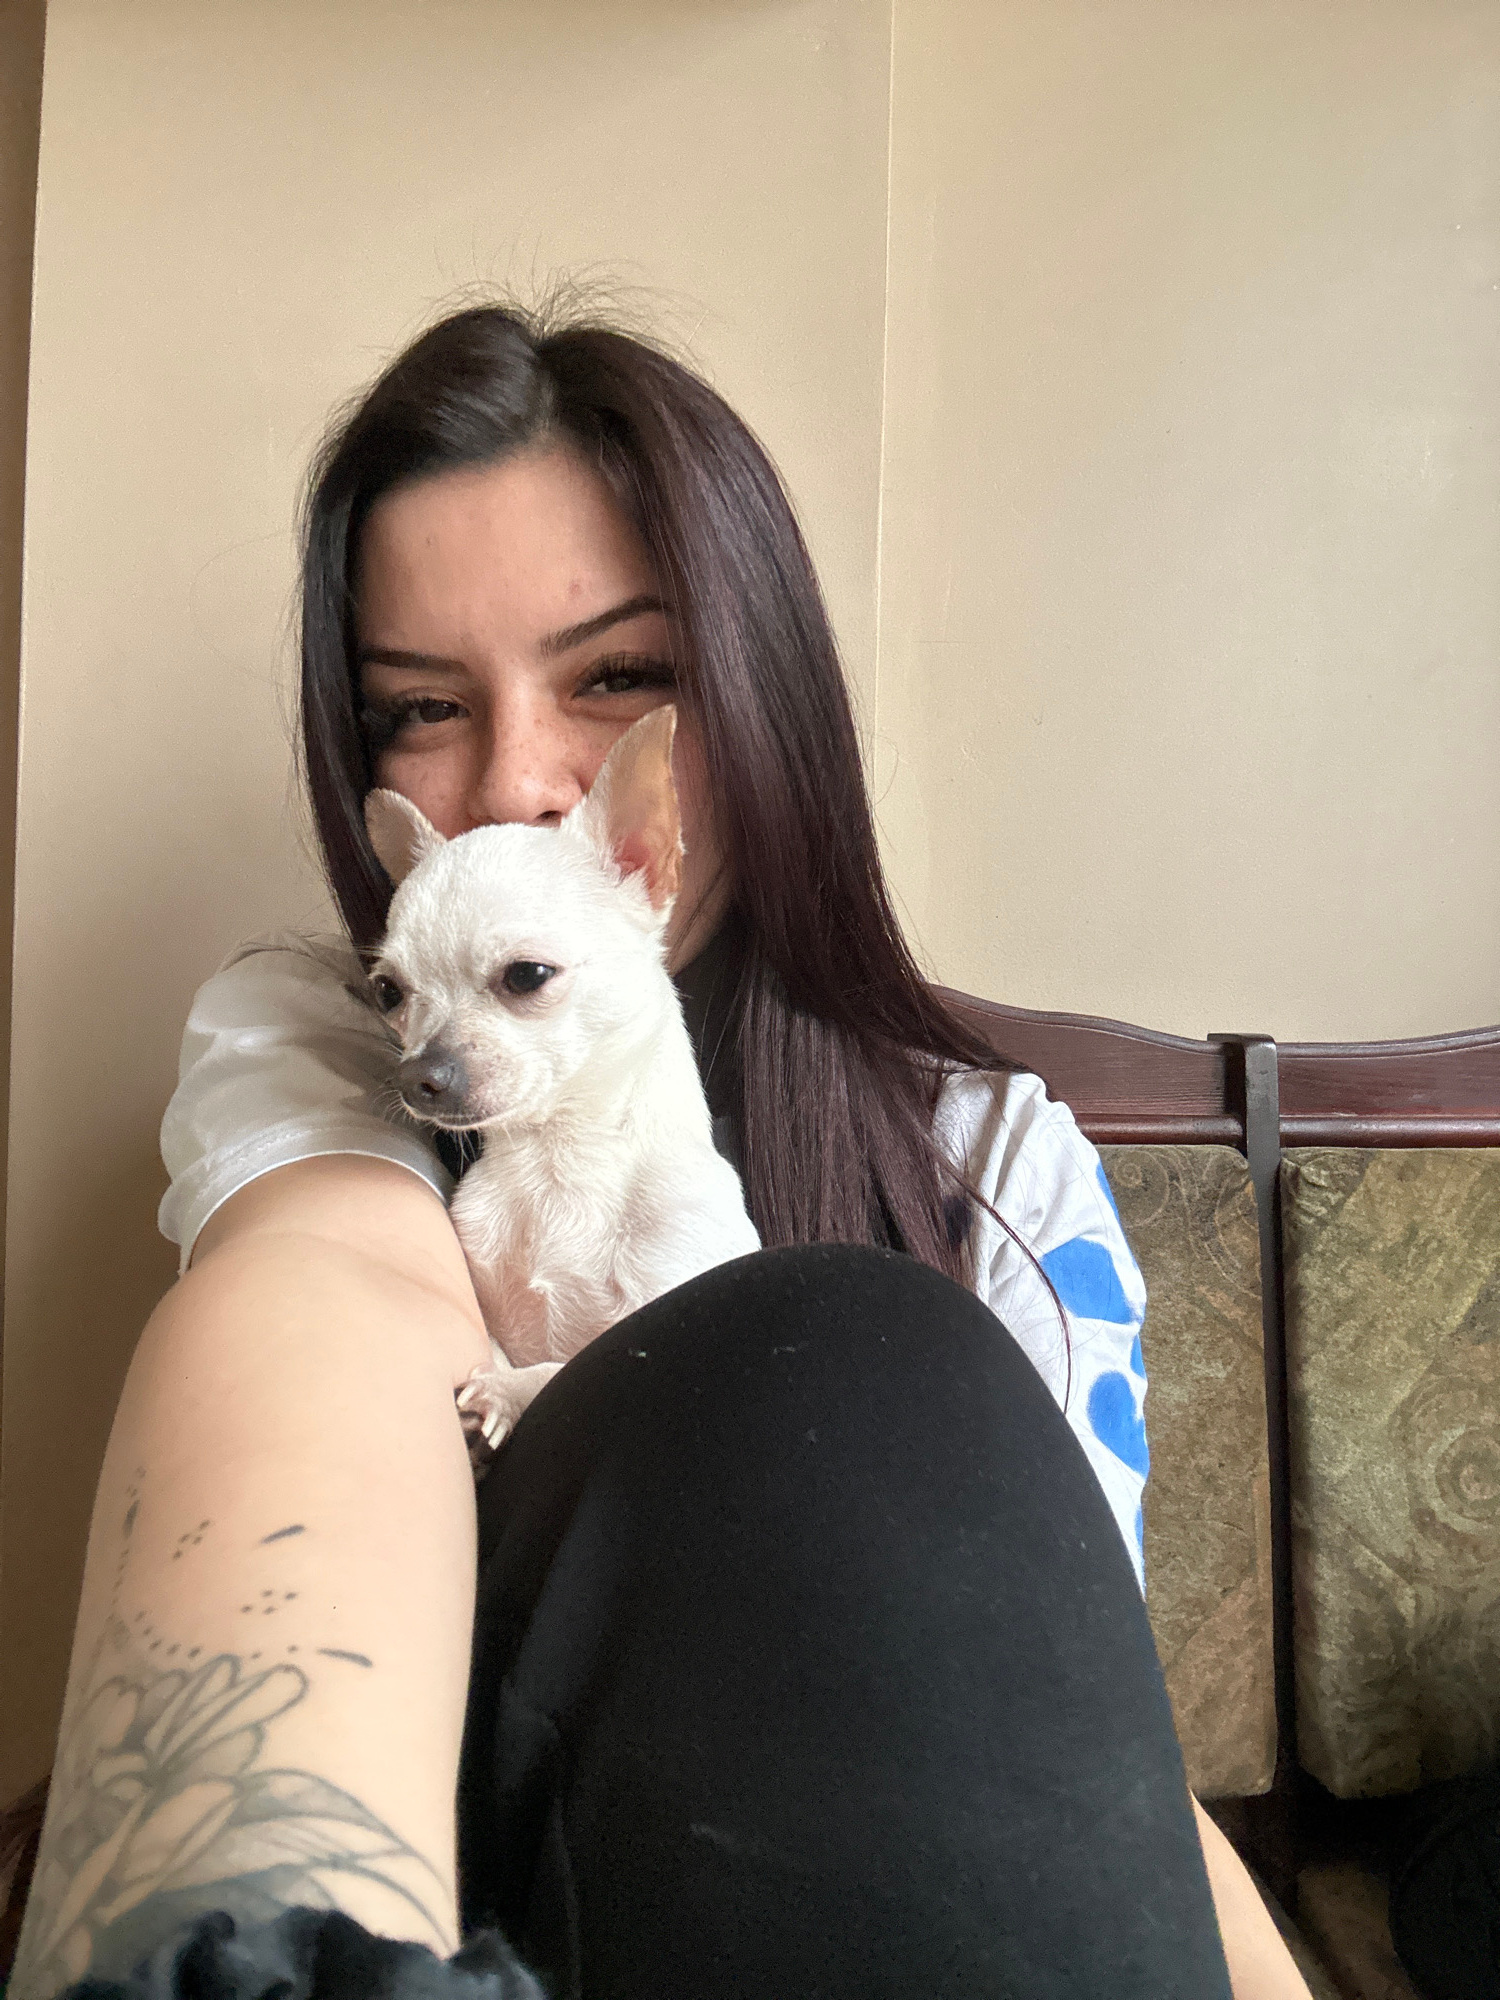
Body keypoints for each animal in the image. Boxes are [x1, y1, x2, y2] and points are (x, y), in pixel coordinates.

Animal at [363, 707, 761, 1462]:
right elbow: (495, 1343)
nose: (417, 1075)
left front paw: (505, 1395)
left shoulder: (672, 1296)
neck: (559, 1161)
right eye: (388, 992)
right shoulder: (485, 1295)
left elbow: (565, 1367)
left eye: (527, 975)